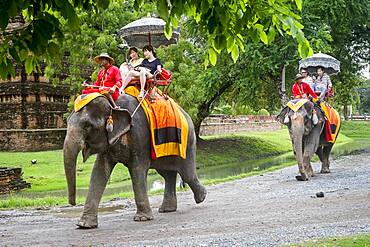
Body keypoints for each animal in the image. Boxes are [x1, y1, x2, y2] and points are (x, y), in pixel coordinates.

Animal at [64, 93, 207, 229]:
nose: (73, 203)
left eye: (87, 126)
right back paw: (167, 209)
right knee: (167, 174)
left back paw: (202, 197)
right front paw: (84, 225)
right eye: (67, 122)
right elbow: (98, 172)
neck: (113, 104)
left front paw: (142, 219)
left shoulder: (139, 136)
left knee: (186, 173)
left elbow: (137, 169)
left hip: (188, 142)